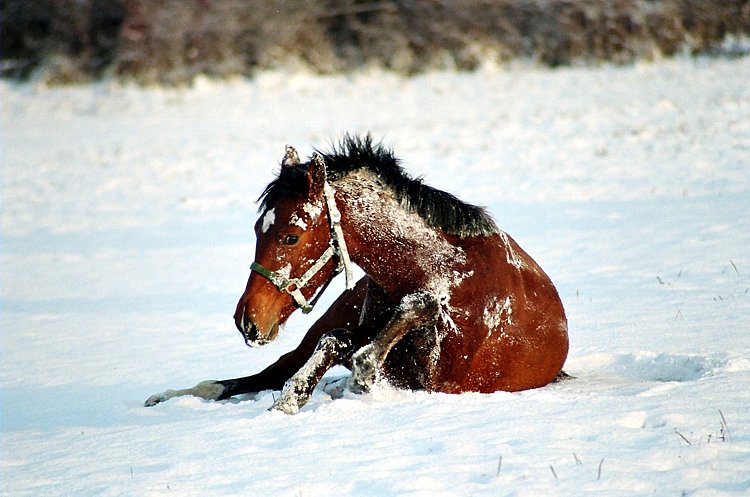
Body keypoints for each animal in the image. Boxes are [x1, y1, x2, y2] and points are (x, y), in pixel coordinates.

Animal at [147, 134, 568, 412]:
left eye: (290, 236)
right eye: (256, 230)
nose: (247, 321)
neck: (446, 270)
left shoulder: (439, 379)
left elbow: (413, 310)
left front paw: (355, 376)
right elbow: (338, 343)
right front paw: (297, 396)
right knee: (260, 375)